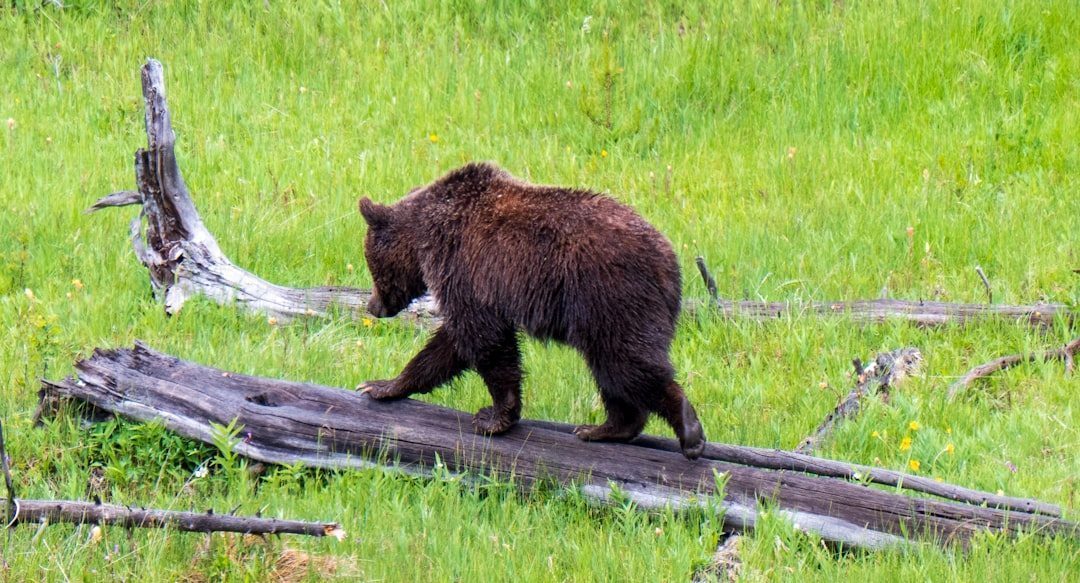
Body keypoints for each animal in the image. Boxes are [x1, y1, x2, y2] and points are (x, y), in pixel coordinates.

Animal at [357, 162, 706, 460]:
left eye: (371, 265)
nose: (373, 306)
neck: (424, 240)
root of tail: (671, 262)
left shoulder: (465, 267)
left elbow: (481, 339)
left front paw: (493, 417)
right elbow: (452, 345)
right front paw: (381, 386)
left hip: (611, 296)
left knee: (626, 363)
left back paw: (688, 430)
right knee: (610, 370)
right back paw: (604, 428)